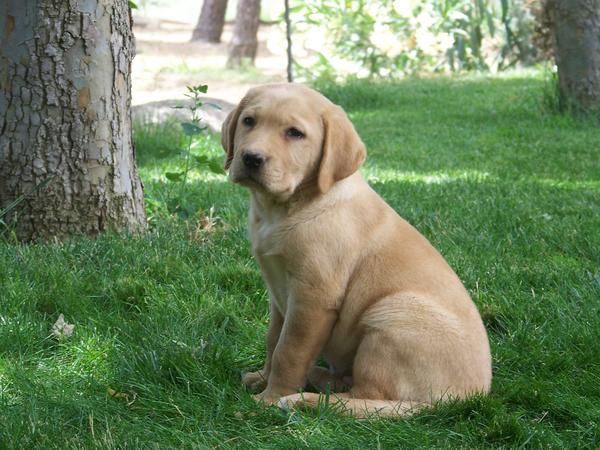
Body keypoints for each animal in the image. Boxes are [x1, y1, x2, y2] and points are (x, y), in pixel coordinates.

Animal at [221, 83, 492, 418]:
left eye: (295, 133)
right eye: (249, 121)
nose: (251, 158)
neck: (286, 208)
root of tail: (468, 397)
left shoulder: (313, 296)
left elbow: (289, 351)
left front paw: (269, 399)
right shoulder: (279, 294)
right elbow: (273, 340)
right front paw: (262, 377)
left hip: (390, 315)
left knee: (365, 398)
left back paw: (305, 398)